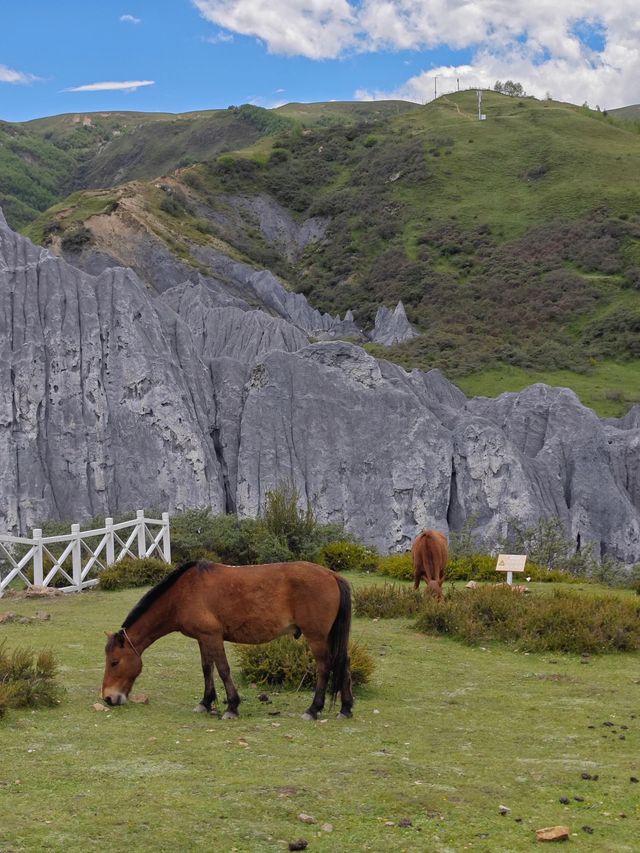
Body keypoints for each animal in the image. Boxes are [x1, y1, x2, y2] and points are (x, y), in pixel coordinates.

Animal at [102, 560, 352, 720]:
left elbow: (222, 669)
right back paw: (346, 708)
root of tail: (333, 575)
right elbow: (207, 669)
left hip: (316, 637)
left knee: (324, 667)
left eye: (114, 662)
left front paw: (232, 706)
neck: (183, 593)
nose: (108, 698)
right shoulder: (203, 639)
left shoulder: (213, 637)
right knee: (344, 663)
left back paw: (313, 710)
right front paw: (205, 703)